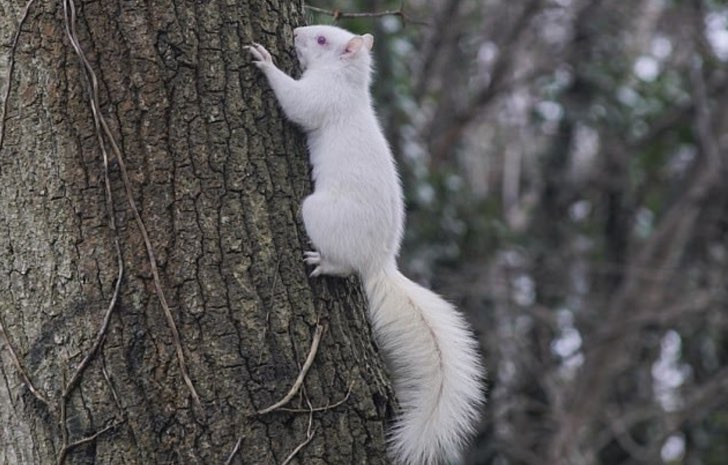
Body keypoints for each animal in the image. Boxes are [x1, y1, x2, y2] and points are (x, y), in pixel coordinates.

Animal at [248, 25, 484, 465]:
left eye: (322, 40)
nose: (296, 31)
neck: (347, 81)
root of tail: (380, 263)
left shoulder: (323, 98)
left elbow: (298, 105)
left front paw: (265, 60)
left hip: (319, 214)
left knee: (346, 266)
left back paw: (324, 263)